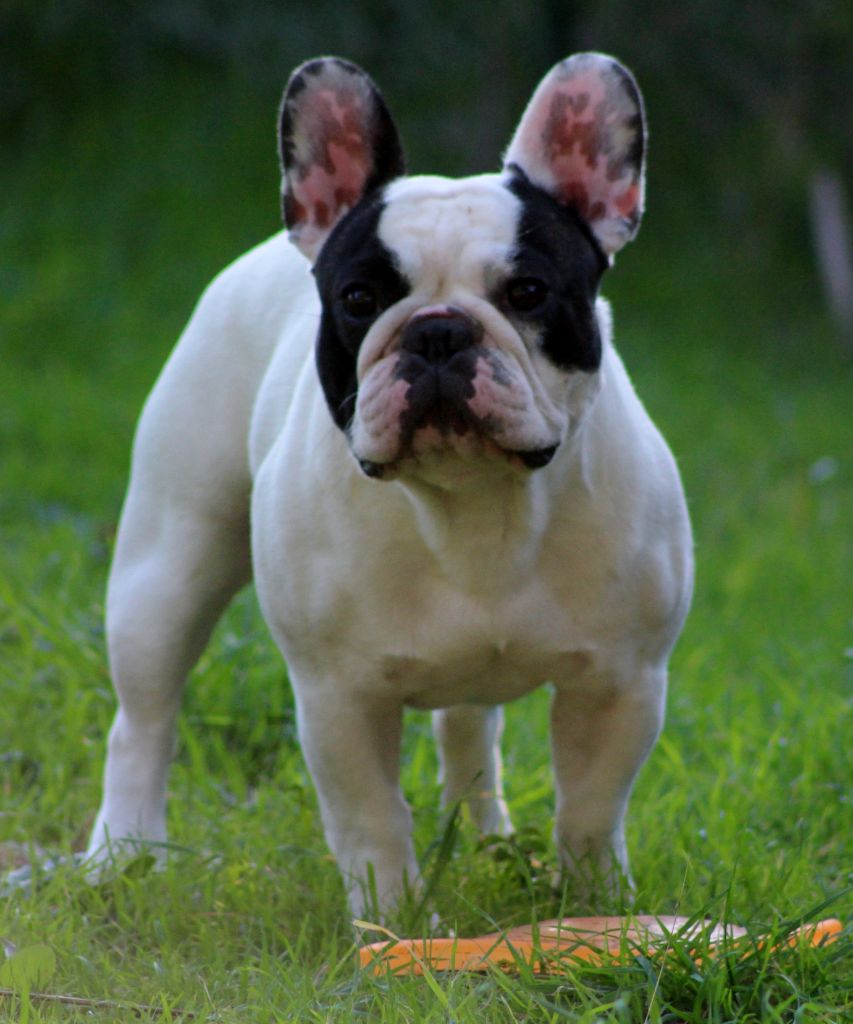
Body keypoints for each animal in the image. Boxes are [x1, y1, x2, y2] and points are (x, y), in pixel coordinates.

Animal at [86, 53, 693, 918]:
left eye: (528, 293)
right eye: (359, 298)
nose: (437, 330)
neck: (474, 506)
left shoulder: (620, 682)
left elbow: (590, 809)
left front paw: (594, 908)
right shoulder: (339, 697)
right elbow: (370, 819)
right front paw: (395, 923)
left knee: (468, 732)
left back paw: (490, 840)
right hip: (168, 566)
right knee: (143, 717)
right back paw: (122, 853)